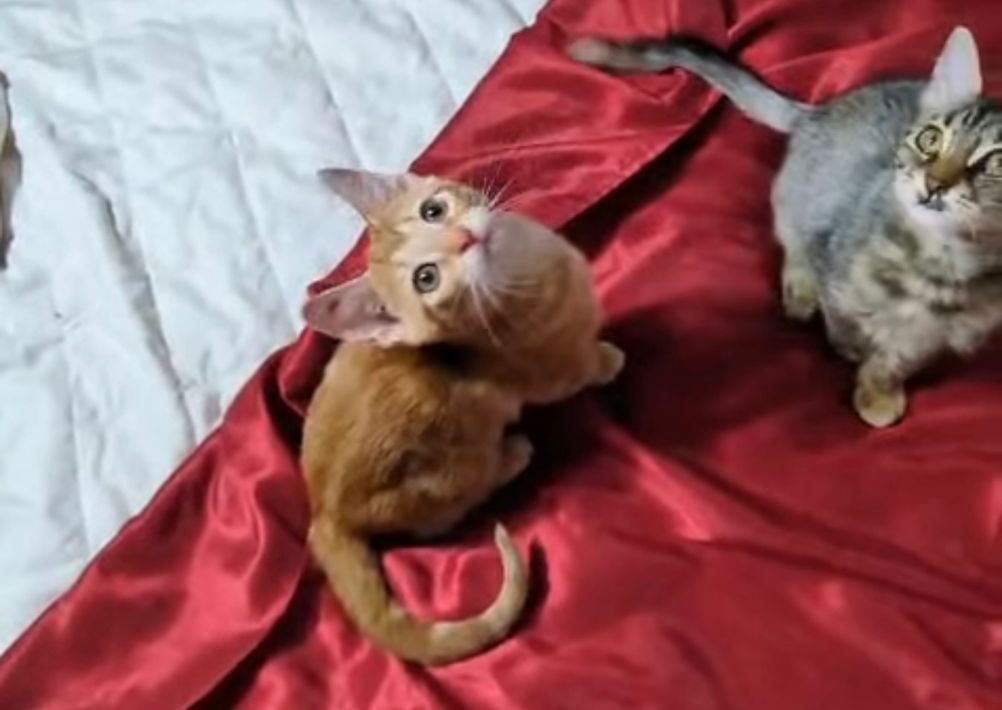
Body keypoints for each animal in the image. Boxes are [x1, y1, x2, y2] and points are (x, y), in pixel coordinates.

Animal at [300, 168, 624, 665]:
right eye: (426, 278)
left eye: (433, 210)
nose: (465, 237)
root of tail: (324, 514)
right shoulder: (553, 373)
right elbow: (585, 365)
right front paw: (608, 359)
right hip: (449, 472)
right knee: (452, 507)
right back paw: (513, 454)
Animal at [568, 27, 1002, 427]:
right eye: (931, 140)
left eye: (994, 165)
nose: (935, 184)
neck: (941, 267)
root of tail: (816, 112)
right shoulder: (832, 267)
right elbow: (848, 327)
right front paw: (852, 354)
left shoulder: (932, 339)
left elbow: (894, 359)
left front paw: (878, 391)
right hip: (795, 199)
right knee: (791, 244)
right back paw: (800, 294)